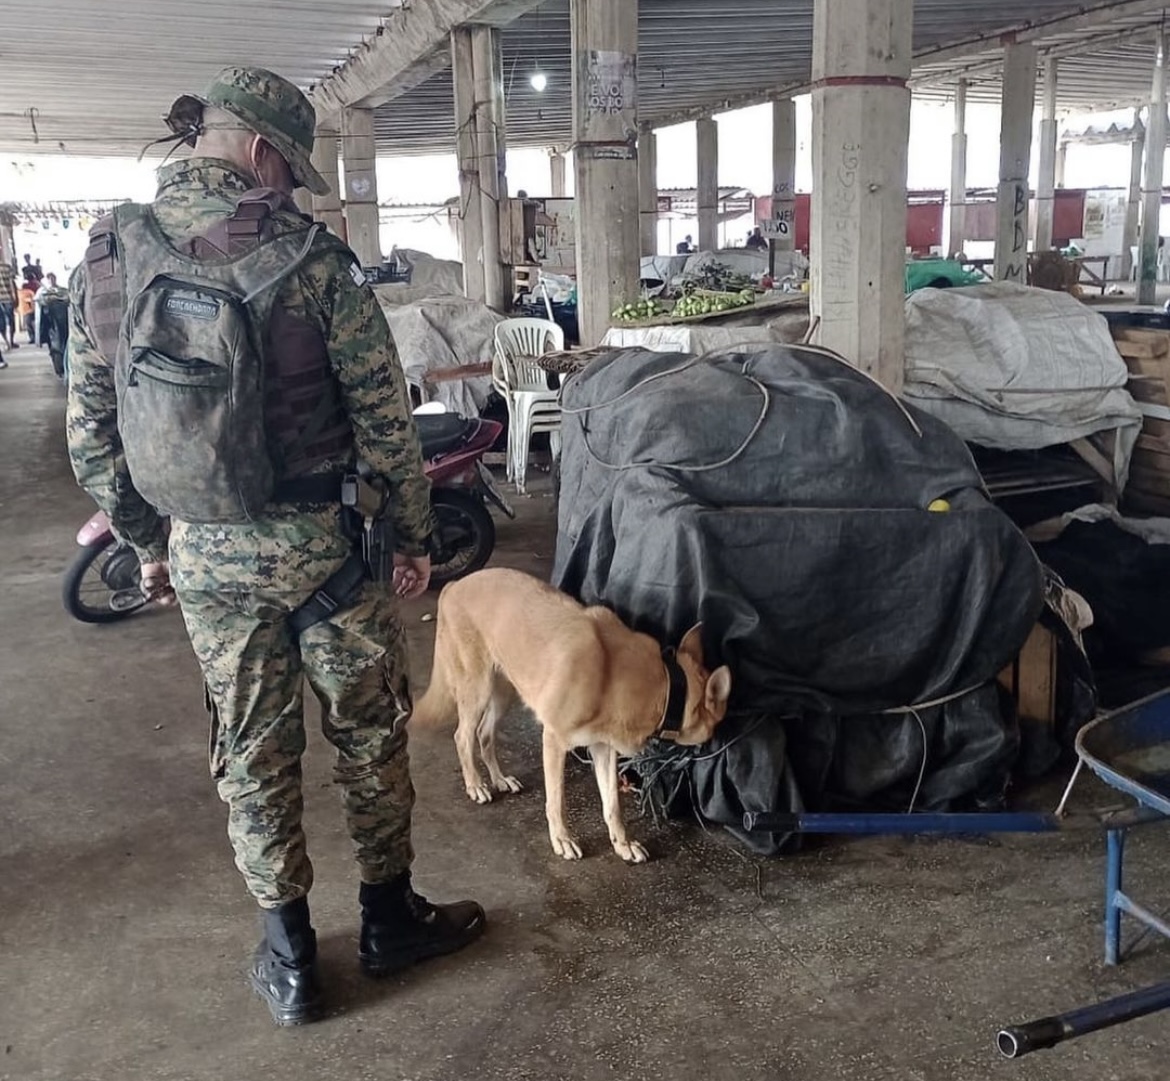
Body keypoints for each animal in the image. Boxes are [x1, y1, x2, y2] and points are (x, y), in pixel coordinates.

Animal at [414, 566, 730, 861]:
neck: (662, 686)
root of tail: (454, 585)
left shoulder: (603, 748)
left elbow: (612, 805)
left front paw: (622, 843)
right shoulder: (554, 741)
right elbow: (557, 801)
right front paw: (562, 839)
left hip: (504, 693)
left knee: (484, 734)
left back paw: (498, 778)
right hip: (477, 689)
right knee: (462, 736)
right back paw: (475, 784)